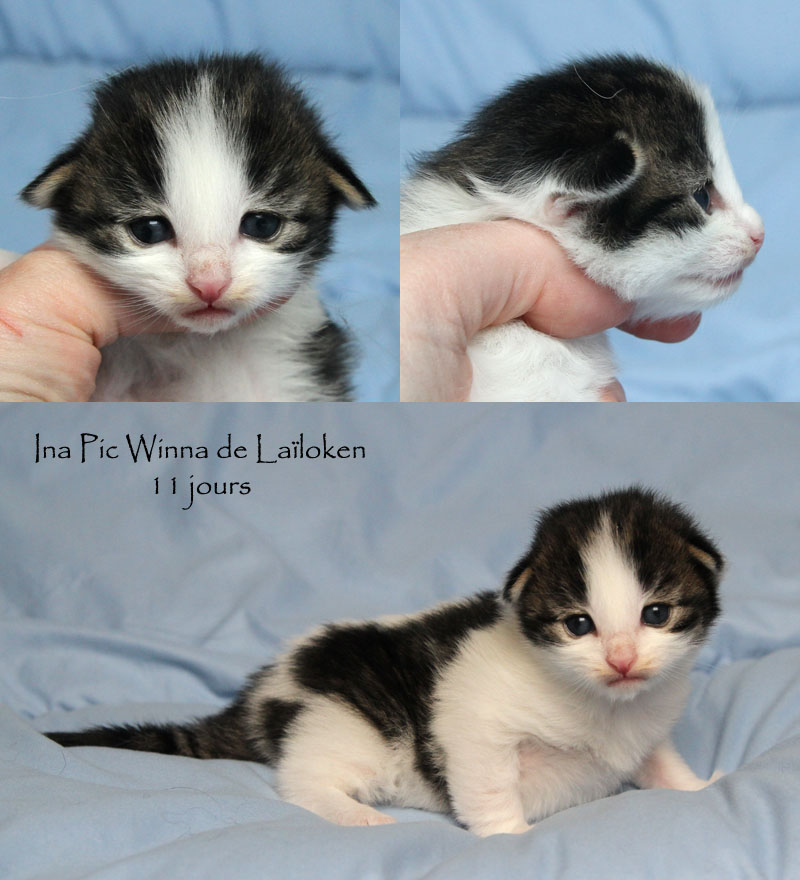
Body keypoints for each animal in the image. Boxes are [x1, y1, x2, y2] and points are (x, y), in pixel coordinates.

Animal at [46, 487, 725, 836]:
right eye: (578, 624)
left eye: (656, 614)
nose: (621, 660)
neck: (603, 704)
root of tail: (264, 692)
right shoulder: (476, 723)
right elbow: (487, 783)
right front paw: (509, 838)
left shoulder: (647, 721)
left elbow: (661, 761)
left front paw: (699, 788)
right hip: (350, 725)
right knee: (302, 780)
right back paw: (357, 816)